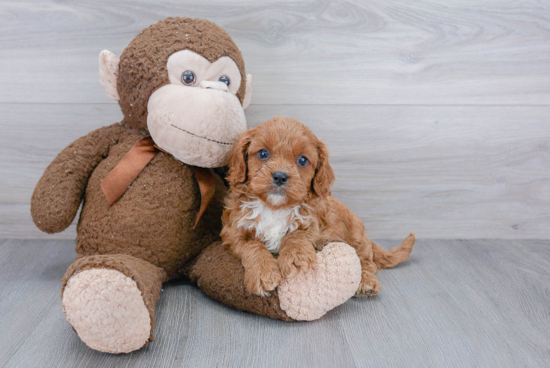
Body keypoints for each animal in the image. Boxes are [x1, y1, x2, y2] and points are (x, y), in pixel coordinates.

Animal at [220, 116, 414, 298]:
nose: (280, 176)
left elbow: (296, 235)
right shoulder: (233, 232)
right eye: (262, 153)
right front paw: (263, 273)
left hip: (357, 236)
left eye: (302, 160)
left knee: (367, 262)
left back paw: (367, 282)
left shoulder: (312, 222)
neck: (274, 207)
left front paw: (295, 258)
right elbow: (252, 247)